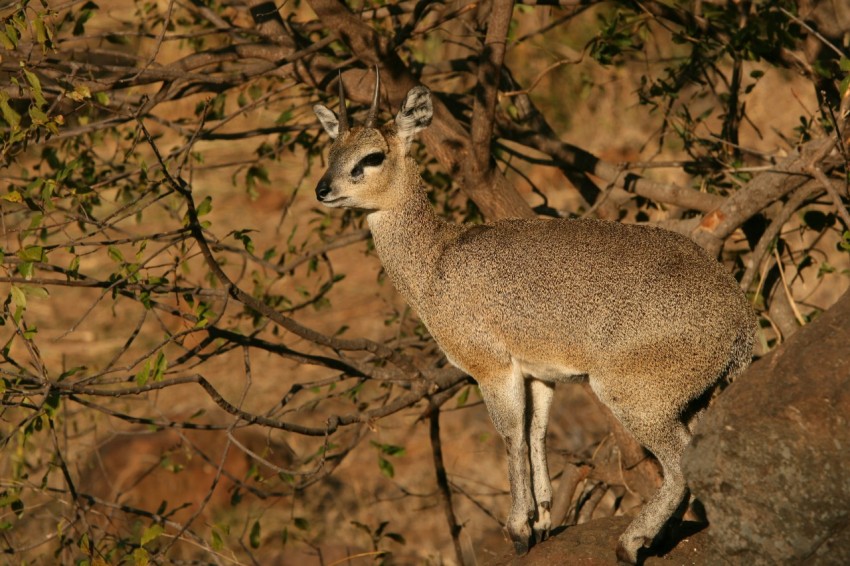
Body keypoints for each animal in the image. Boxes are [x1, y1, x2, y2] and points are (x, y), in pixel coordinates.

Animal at [312, 68, 756, 564]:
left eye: (371, 156)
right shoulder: (540, 373)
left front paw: (518, 529)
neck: (436, 260)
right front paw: (543, 519)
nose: (323, 189)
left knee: (679, 461)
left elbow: (511, 435)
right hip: (691, 400)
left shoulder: (491, 367)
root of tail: (742, 320)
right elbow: (537, 431)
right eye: (330, 153)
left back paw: (631, 542)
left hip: (635, 396)